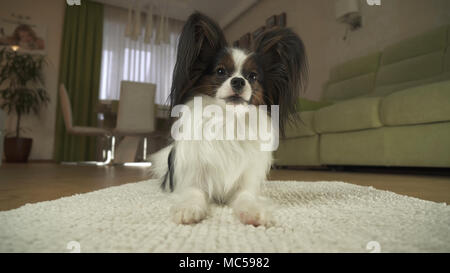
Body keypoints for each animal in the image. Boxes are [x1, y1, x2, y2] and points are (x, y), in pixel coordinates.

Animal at [149, 12, 308, 225]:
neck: (228, 120)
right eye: (220, 71)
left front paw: (252, 211)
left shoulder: (245, 182)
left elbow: (246, 197)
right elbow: (193, 192)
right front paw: (188, 209)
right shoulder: (193, 177)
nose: (239, 81)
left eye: (253, 76)